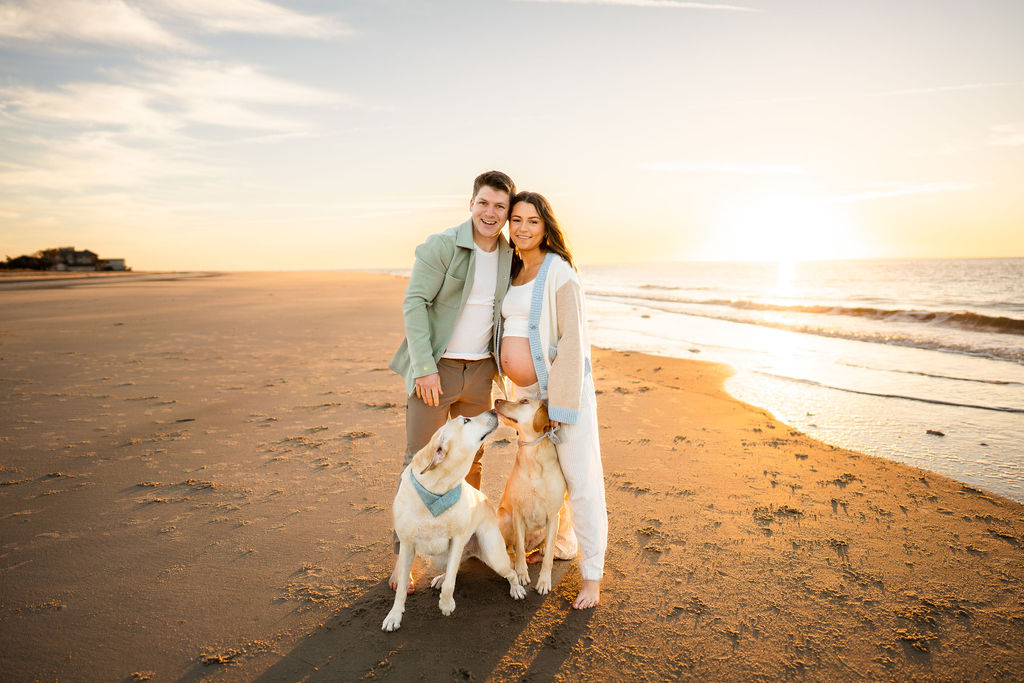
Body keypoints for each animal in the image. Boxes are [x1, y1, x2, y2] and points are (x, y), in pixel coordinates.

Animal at [385, 409, 528, 634]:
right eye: (466, 420)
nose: (493, 410)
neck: (437, 490)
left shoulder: (458, 539)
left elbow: (451, 583)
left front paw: (446, 604)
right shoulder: (407, 544)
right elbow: (401, 589)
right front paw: (394, 616)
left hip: (493, 554)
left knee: (510, 572)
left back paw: (516, 589)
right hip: (437, 559)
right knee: (455, 567)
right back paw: (440, 578)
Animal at [493, 397, 577, 593]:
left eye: (524, 401)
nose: (497, 399)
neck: (532, 455)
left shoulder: (554, 515)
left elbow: (548, 557)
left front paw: (544, 581)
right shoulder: (517, 513)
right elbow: (519, 549)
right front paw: (522, 573)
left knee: (542, 545)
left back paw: (542, 549)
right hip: (504, 516)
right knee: (512, 548)